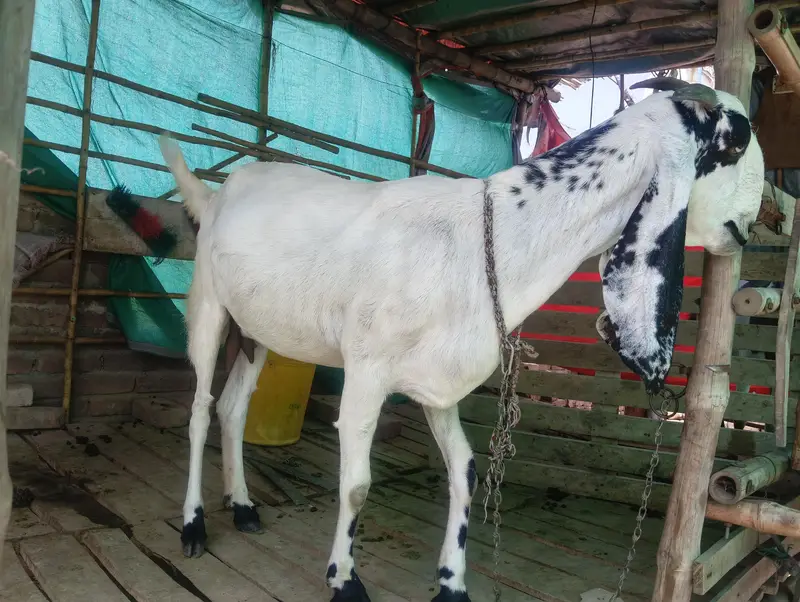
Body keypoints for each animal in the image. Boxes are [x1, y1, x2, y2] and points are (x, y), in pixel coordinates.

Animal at [158, 77, 764, 602]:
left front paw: (452, 582)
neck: (484, 241)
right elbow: (356, 484)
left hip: (259, 330)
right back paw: (193, 526)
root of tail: (217, 194)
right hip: (209, 306)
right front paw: (344, 581)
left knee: (234, 407)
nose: (749, 228)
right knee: (198, 410)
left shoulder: (439, 384)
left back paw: (242, 505)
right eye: (734, 143)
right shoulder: (367, 371)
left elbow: (467, 470)